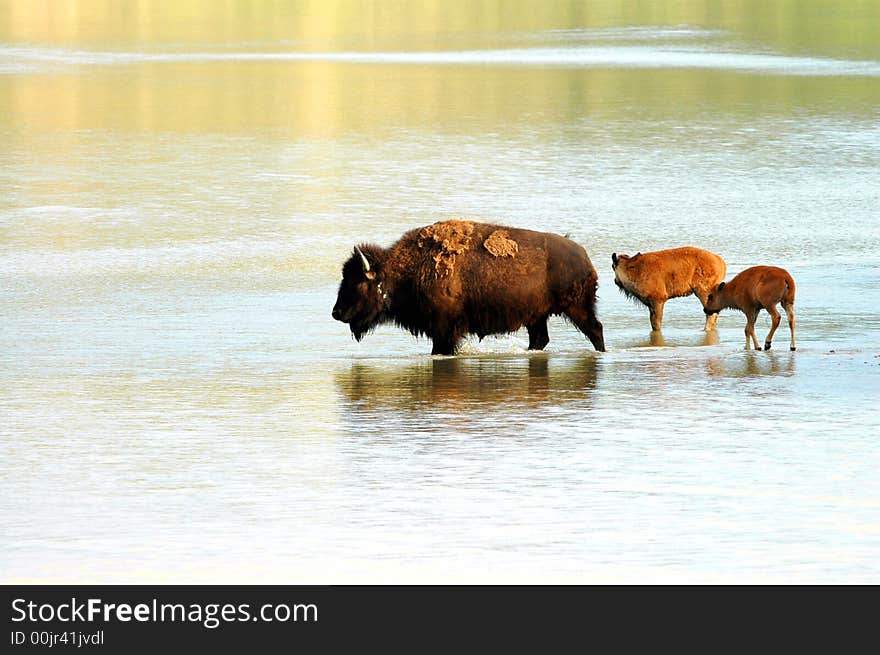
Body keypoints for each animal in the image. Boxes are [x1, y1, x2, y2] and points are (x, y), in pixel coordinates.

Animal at [330, 219, 604, 354]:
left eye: (356, 282)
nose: (336, 312)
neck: (404, 270)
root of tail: (583, 256)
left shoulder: (444, 332)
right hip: (536, 317)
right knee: (541, 339)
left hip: (577, 308)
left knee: (595, 329)